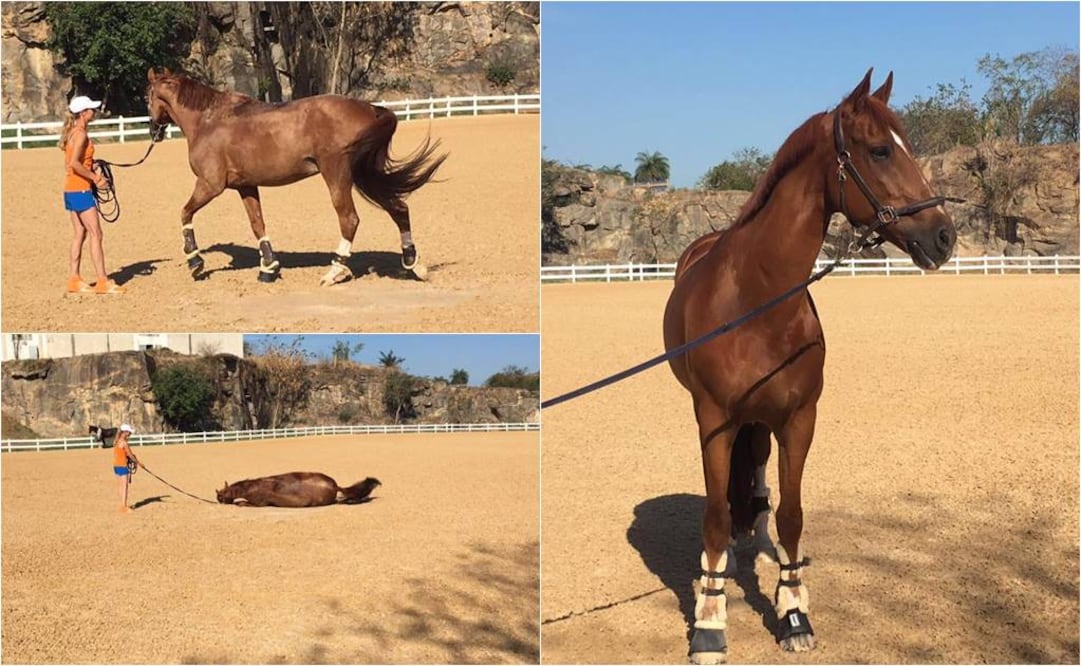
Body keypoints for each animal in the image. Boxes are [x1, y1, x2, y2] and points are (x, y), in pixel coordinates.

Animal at [145, 68, 447, 286]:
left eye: (147, 96)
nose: (153, 130)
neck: (209, 120)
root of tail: (372, 109)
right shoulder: (246, 186)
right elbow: (257, 224)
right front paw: (268, 268)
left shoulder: (210, 184)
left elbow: (185, 212)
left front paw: (195, 262)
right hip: (366, 174)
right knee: (399, 208)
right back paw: (413, 264)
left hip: (337, 173)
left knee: (350, 219)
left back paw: (334, 272)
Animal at [662, 69, 957, 664]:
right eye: (881, 149)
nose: (944, 236)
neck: (757, 301)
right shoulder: (714, 421)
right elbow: (713, 518)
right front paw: (710, 623)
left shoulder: (799, 419)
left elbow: (792, 515)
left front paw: (793, 612)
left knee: (755, 476)